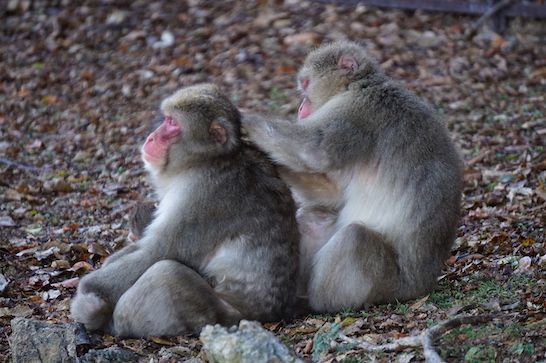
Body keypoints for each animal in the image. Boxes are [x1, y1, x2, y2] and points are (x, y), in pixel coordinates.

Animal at [70, 83, 300, 338]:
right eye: (166, 118)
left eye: (173, 123)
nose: (151, 137)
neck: (206, 161)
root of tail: (271, 316)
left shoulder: (205, 196)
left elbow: (156, 253)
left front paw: (88, 289)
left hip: (224, 317)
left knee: (166, 273)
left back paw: (102, 318)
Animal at [240, 40, 462, 312]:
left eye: (306, 83)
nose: (301, 108)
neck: (356, 85)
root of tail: (424, 285)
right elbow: (333, 194)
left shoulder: (358, 111)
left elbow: (316, 151)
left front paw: (243, 119)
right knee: (316, 217)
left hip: (391, 284)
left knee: (354, 237)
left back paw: (316, 304)